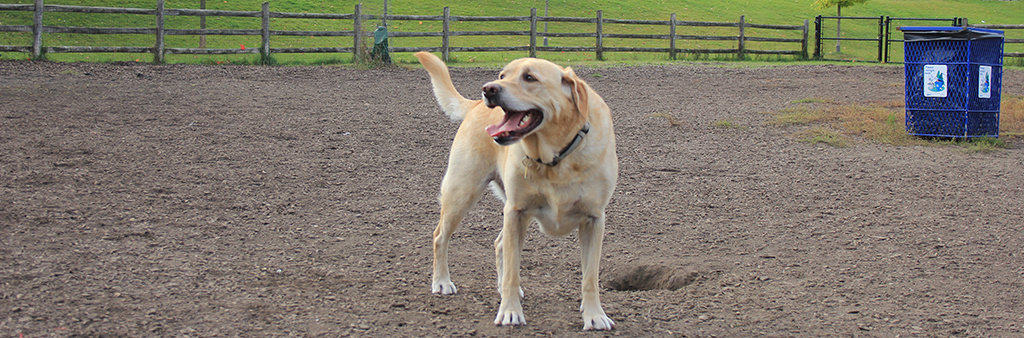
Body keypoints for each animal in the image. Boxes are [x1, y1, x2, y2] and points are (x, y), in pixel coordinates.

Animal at [413, 51, 614, 331]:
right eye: (502, 75)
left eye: (529, 77)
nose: (488, 88)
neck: (556, 159)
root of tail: (475, 105)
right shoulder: (516, 211)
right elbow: (511, 272)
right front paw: (510, 312)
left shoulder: (594, 220)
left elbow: (590, 278)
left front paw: (594, 315)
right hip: (462, 192)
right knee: (440, 236)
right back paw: (442, 281)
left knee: (499, 244)